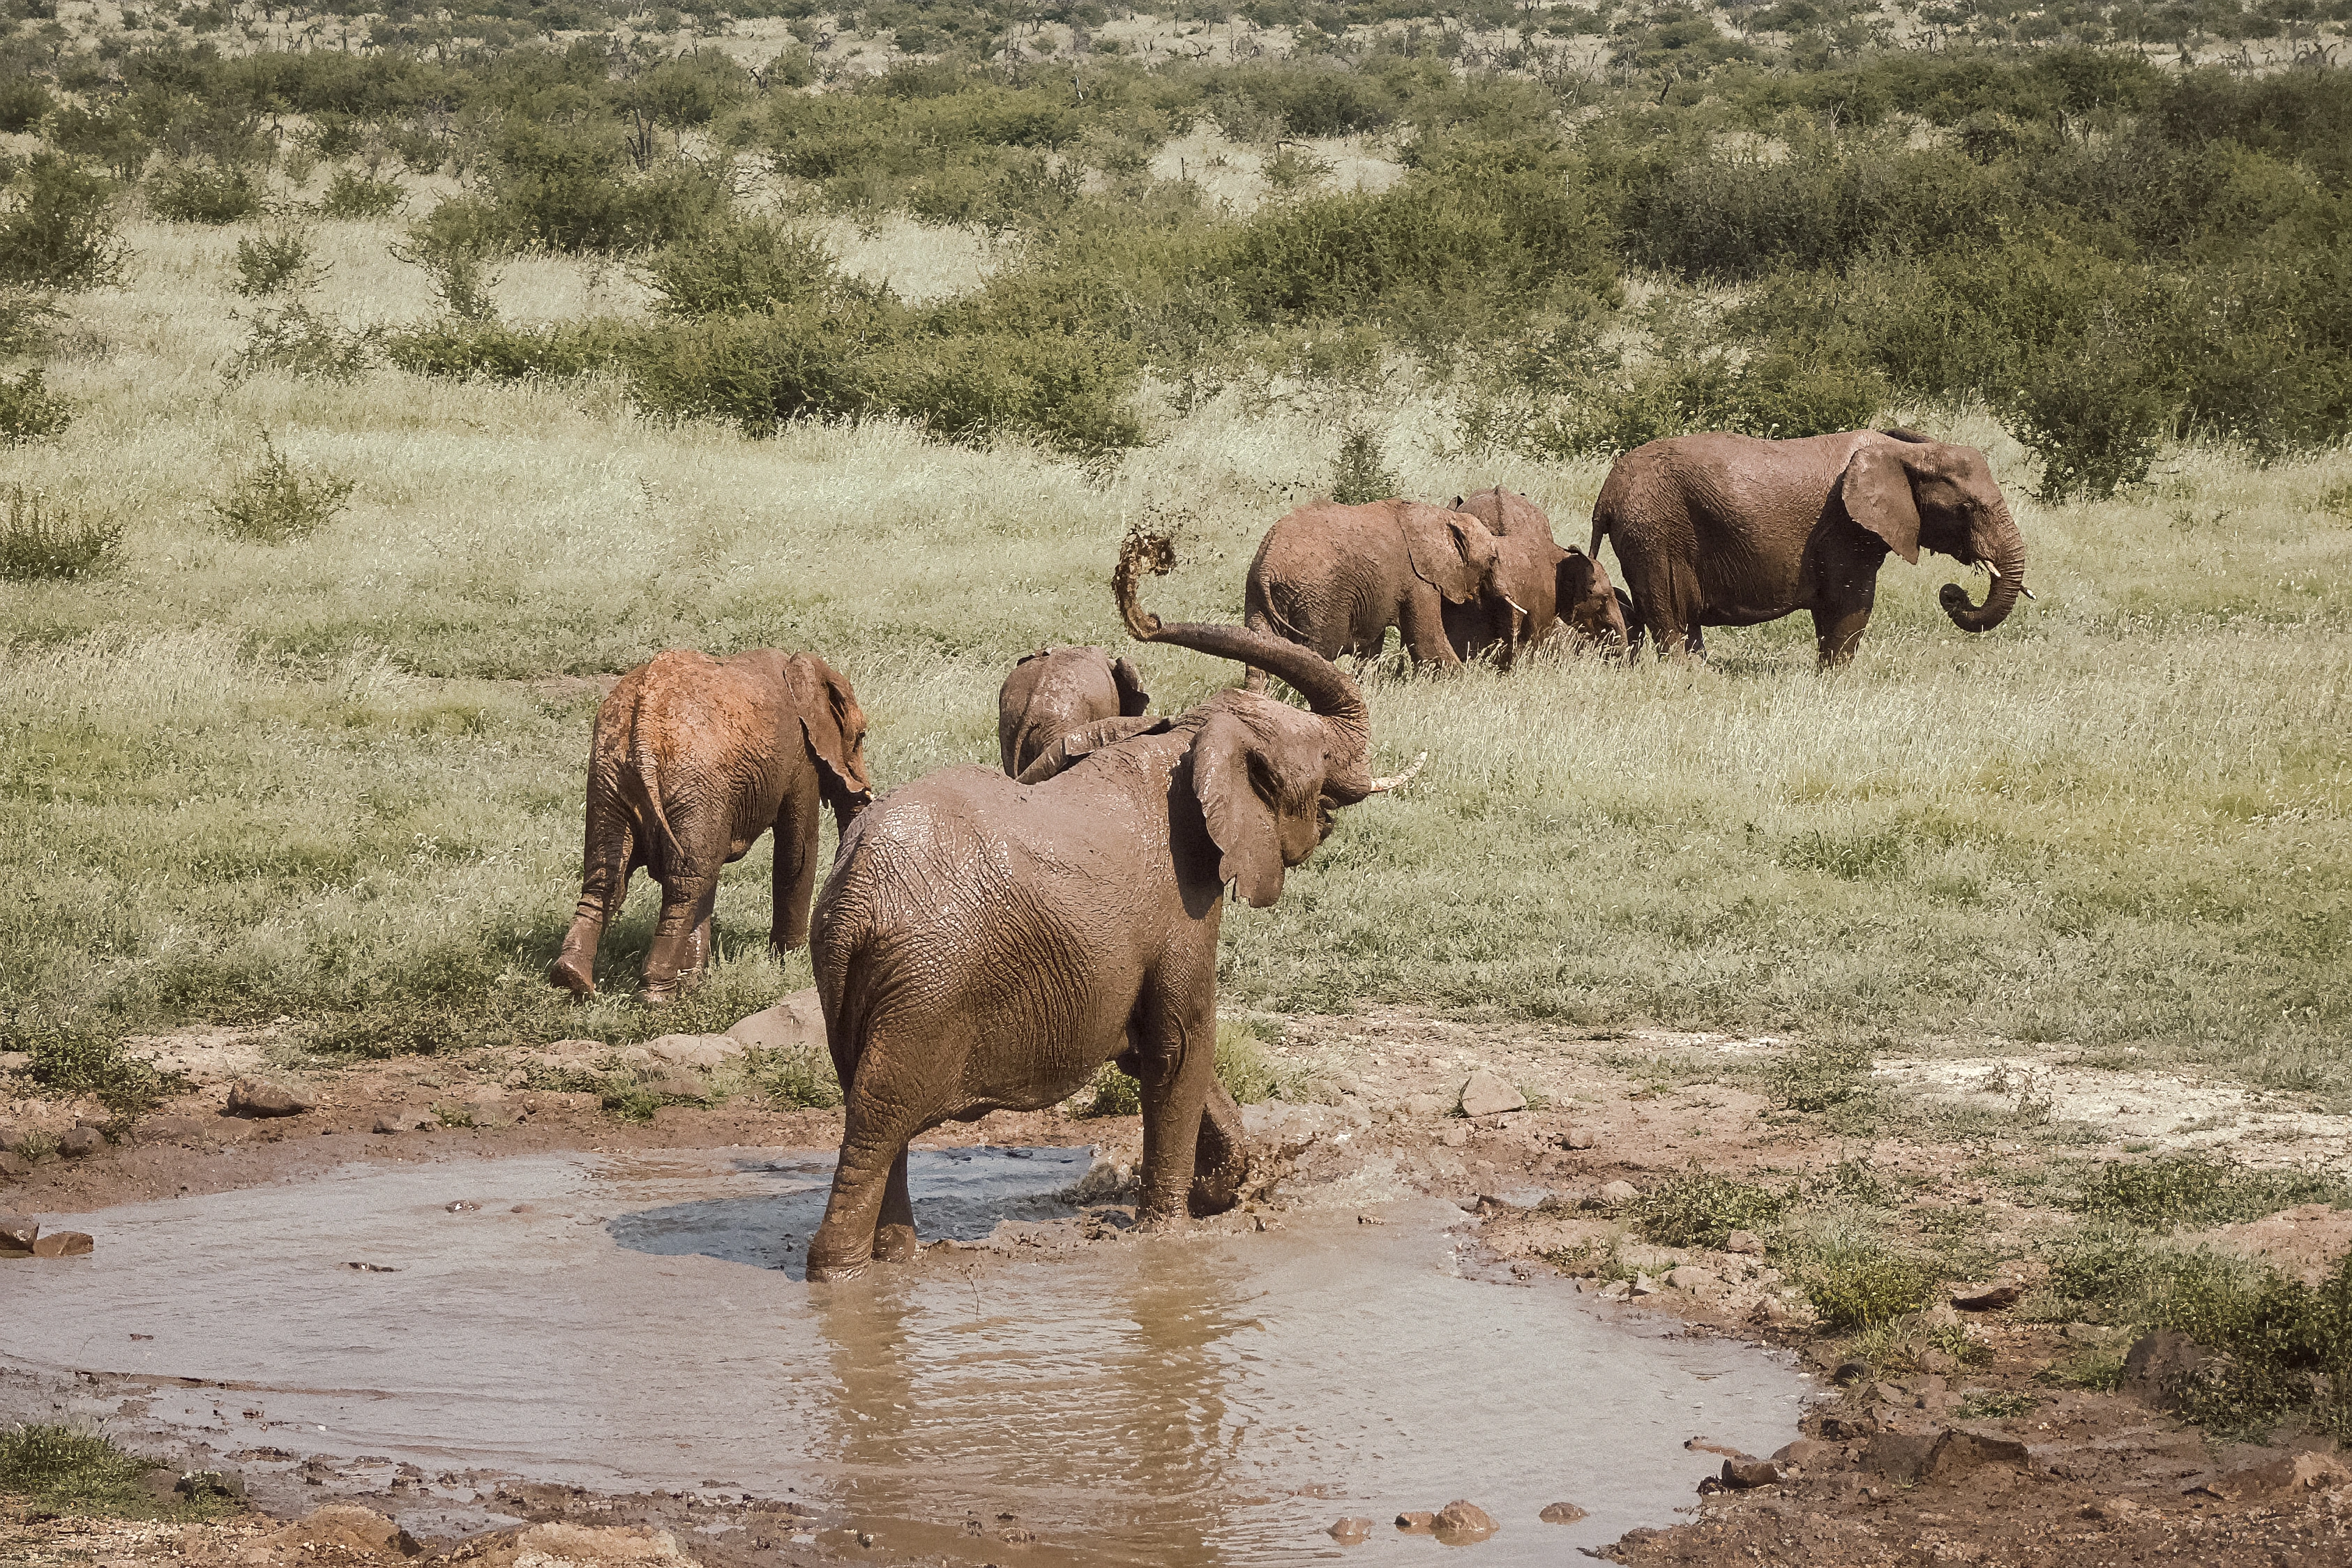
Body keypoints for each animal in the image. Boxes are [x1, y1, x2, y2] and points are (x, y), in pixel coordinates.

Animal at [549, 649, 872, 1004]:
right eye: (861, 737)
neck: (801, 665)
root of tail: (642, 727)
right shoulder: (800, 758)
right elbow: (797, 851)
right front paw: (789, 960)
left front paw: (693, 983)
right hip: (689, 781)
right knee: (685, 884)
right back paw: (656, 996)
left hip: (611, 778)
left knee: (610, 877)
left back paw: (572, 980)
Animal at [1241, 498, 1515, 690]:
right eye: (1492, 559)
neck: (1441, 517)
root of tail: (1269, 563)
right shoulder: (1417, 579)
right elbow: (1426, 641)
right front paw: (1465, 681)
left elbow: (1372, 647)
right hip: (1317, 598)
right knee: (1317, 652)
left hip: (1257, 595)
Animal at [1589, 428, 2028, 666]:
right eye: (1966, 508)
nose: (1953, 593)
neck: (1906, 453)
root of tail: (1605, 495)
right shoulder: (1845, 529)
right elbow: (1850, 602)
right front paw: (1835, 681)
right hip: (1653, 534)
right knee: (1670, 615)